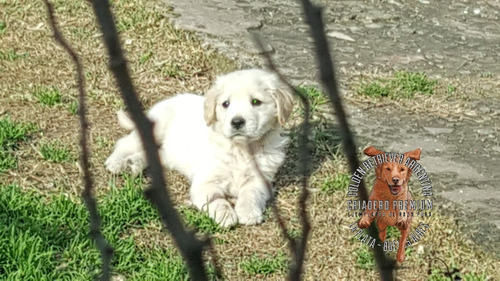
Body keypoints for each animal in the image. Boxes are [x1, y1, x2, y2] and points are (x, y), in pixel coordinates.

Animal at [104, 69, 292, 226]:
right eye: (226, 104)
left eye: (255, 102)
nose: (237, 122)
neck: (241, 149)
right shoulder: (205, 182)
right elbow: (217, 200)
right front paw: (225, 215)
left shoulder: (260, 180)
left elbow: (250, 194)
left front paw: (248, 212)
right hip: (155, 127)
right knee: (125, 142)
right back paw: (117, 163)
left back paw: (134, 163)